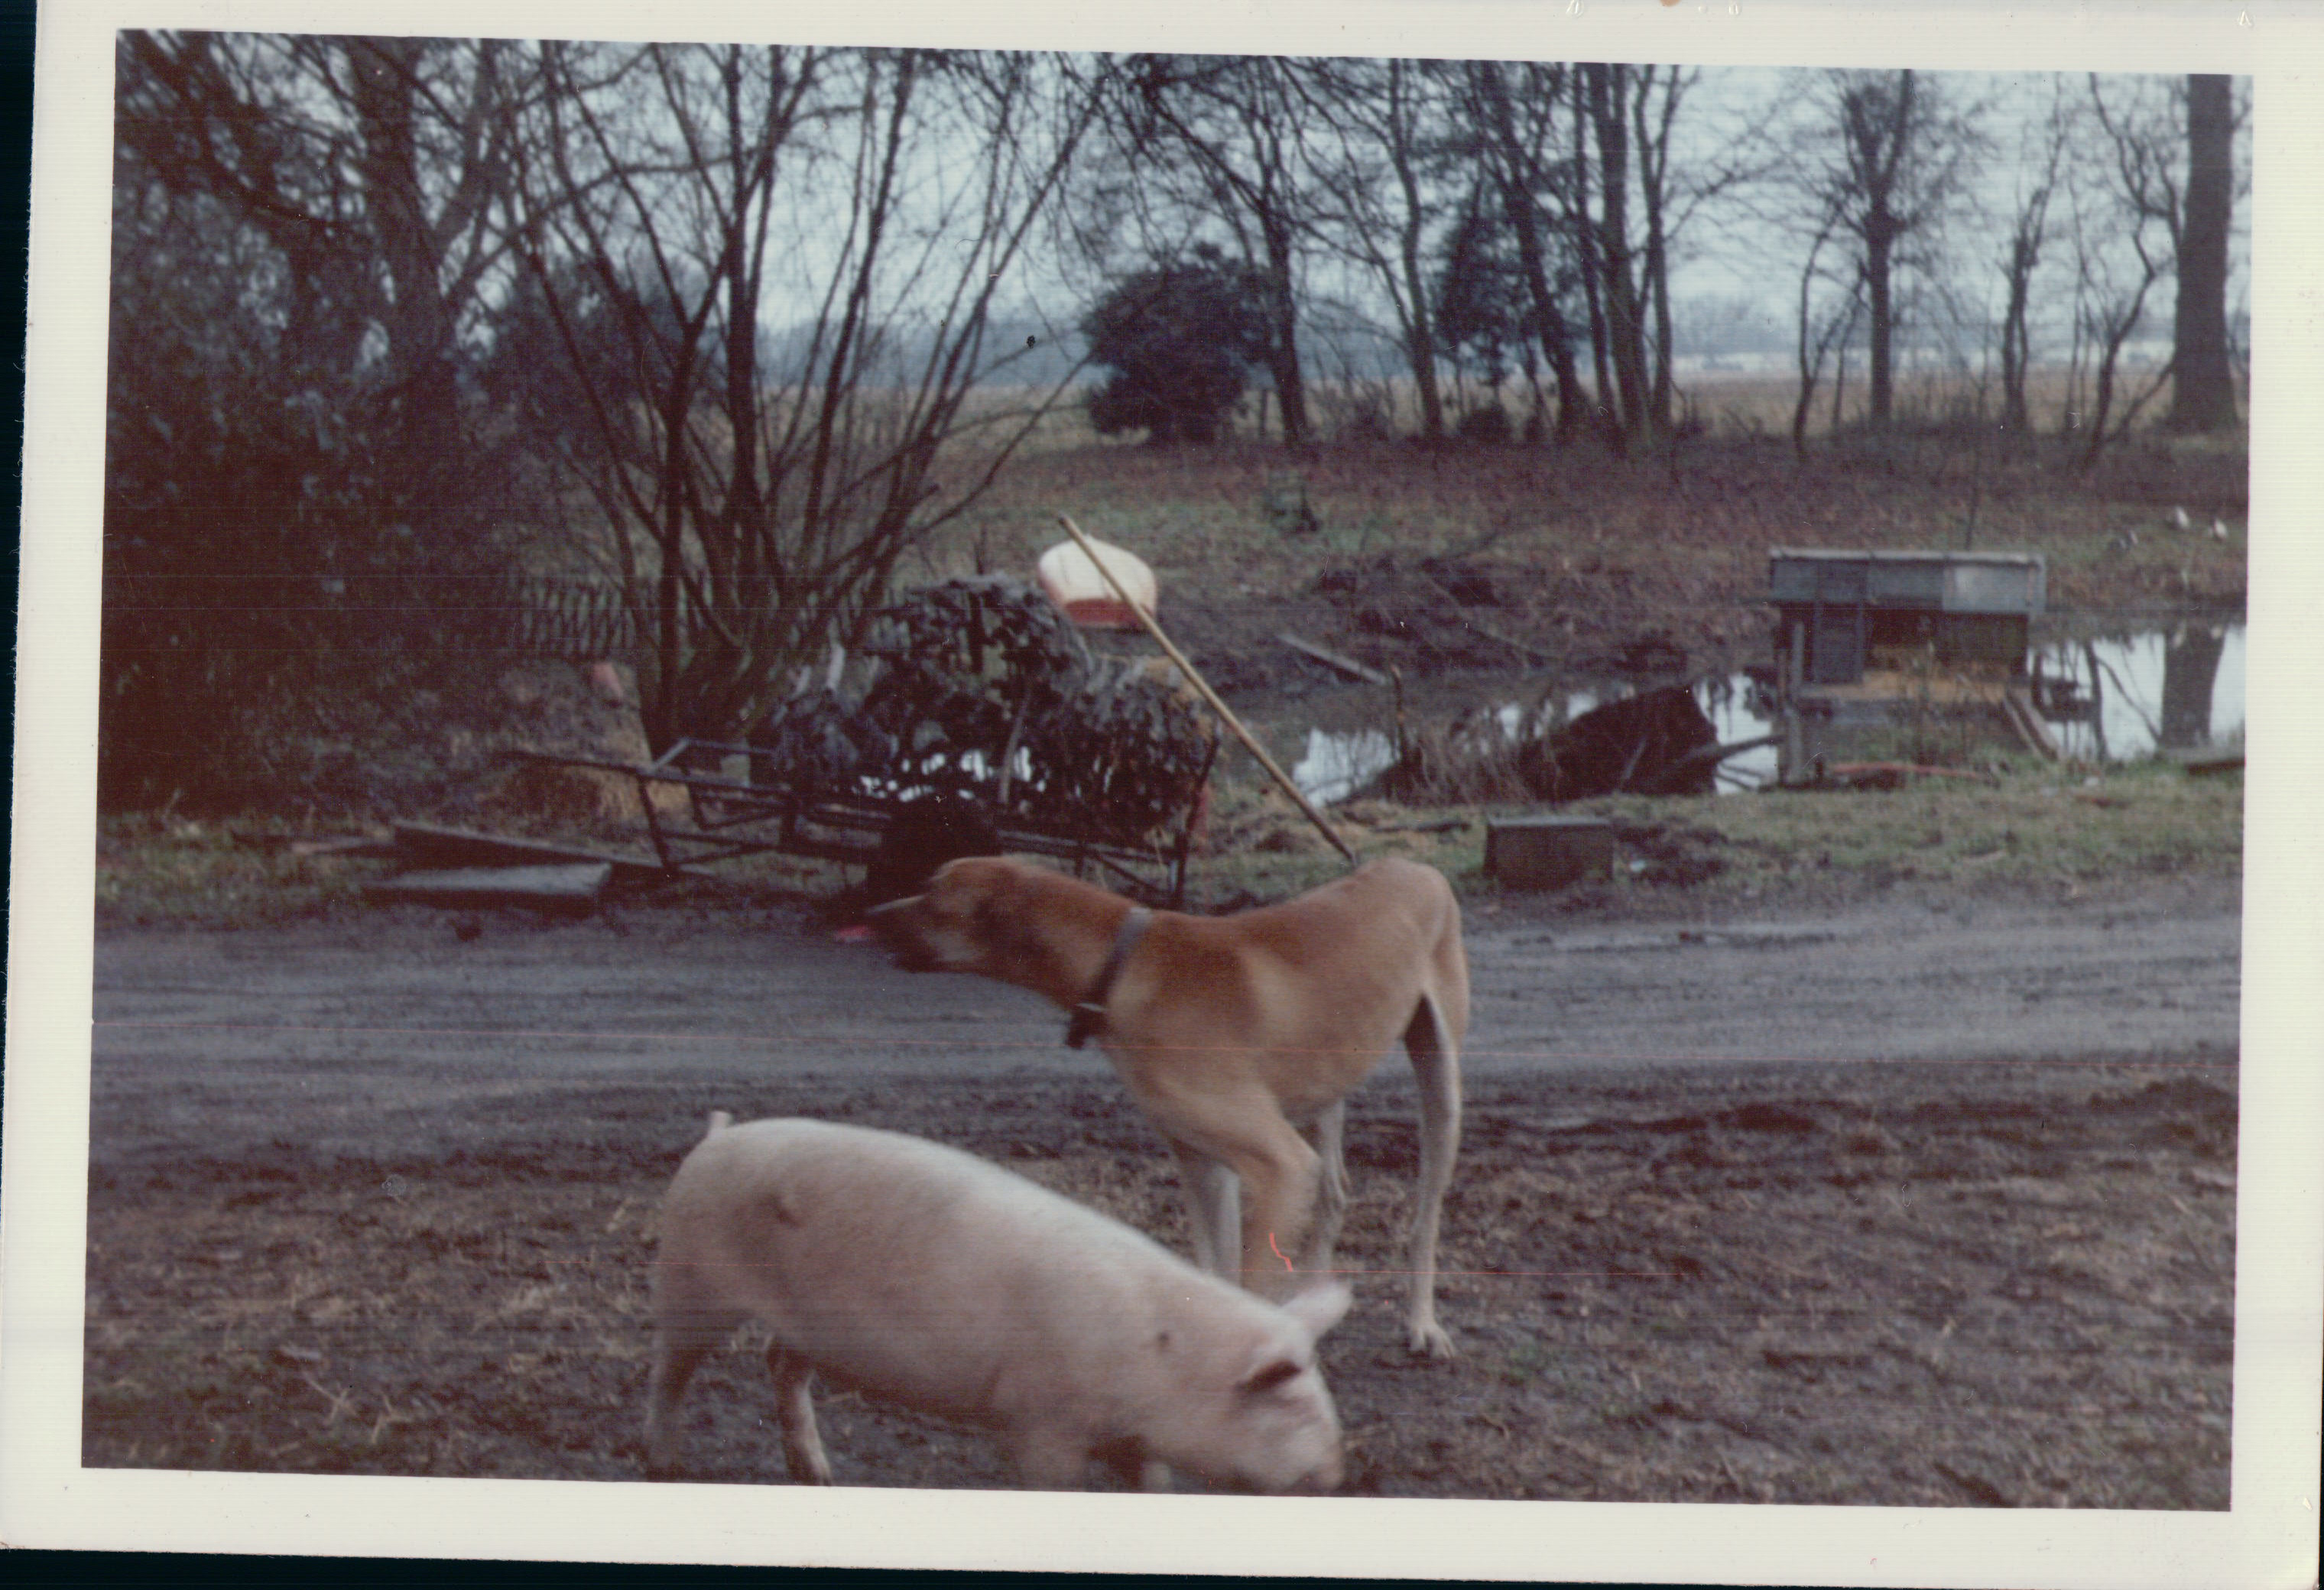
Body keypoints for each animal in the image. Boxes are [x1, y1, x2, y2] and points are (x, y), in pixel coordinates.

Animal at [645, 1113, 1351, 1493]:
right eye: (1289, 1403)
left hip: (807, 1325)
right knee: (669, 1371)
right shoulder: (1042, 1420)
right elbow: (1056, 1483)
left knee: (780, 1365)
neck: (1166, 1361)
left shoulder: (1137, 1440)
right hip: (689, 1277)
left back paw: (821, 1476)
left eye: (1322, 1399)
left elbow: (1153, 1485)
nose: (1339, 1475)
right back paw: (666, 1465)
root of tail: (715, 1139)